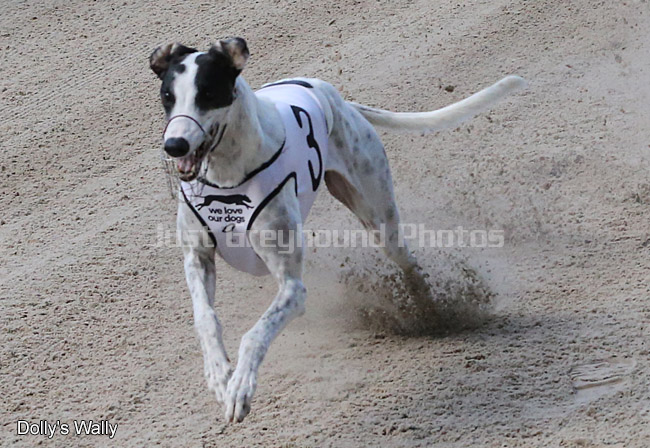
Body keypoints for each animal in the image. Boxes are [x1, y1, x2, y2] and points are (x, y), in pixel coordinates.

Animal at [149, 37, 525, 423]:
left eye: (209, 92)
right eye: (167, 96)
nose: (174, 145)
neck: (227, 177)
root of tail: (337, 98)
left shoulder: (293, 288)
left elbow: (255, 334)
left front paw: (240, 386)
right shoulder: (198, 258)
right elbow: (205, 317)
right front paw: (218, 374)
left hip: (378, 215)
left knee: (407, 262)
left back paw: (431, 311)